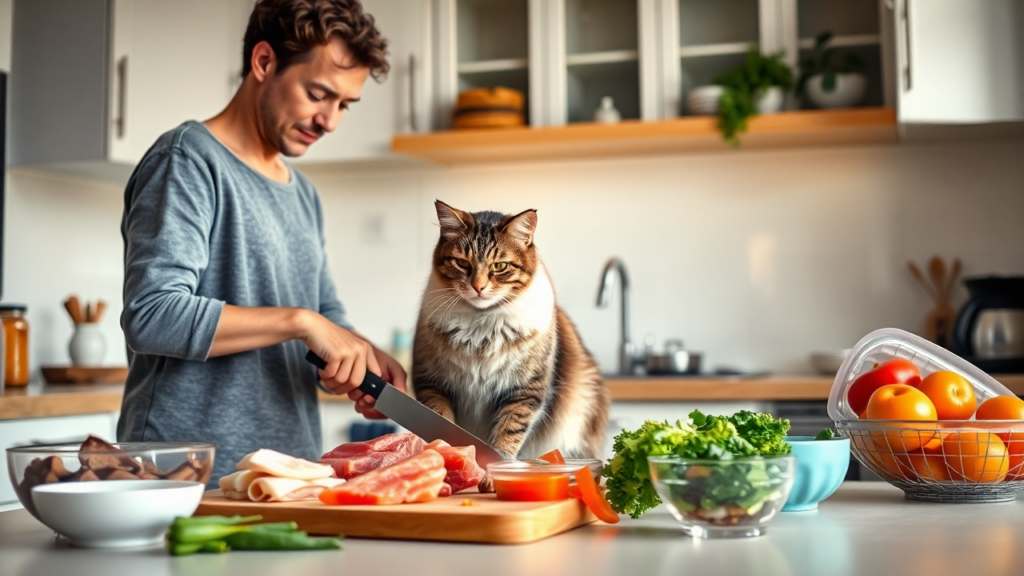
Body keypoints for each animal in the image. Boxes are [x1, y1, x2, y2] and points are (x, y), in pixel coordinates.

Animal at [411, 199, 610, 459]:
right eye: (462, 263)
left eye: (499, 266)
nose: (478, 286)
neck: (480, 328)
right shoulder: (430, 381)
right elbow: (441, 417)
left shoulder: (524, 389)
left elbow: (509, 431)